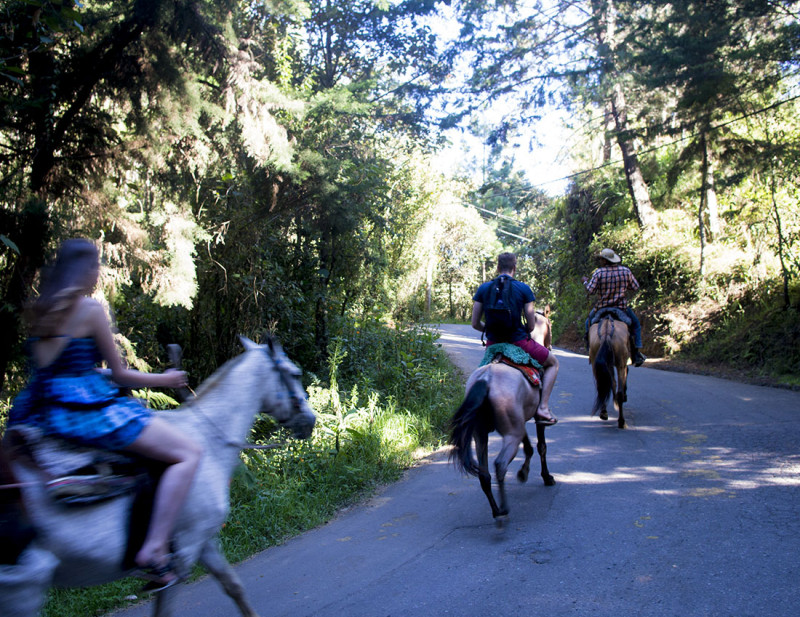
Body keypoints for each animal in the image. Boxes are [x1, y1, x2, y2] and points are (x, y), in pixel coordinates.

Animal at [0, 336, 318, 616]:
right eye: (295, 373)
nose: (310, 420)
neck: (207, 440)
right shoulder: (183, 554)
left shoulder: (202, 541)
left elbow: (234, 586)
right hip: (25, 585)